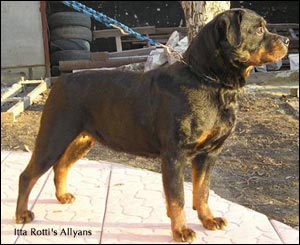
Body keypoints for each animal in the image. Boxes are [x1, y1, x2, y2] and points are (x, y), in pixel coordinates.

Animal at [15, 8, 288, 243]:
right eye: (259, 29)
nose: (286, 40)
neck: (210, 82)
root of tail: (58, 82)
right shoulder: (174, 155)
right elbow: (178, 197)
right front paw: (181, 230)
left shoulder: (208, 153)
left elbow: (203, 190)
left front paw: (208, 219)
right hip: (54, 135)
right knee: (28, 175)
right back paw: (21, 214)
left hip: (82, 139)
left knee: (61, 166)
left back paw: (62, 196)